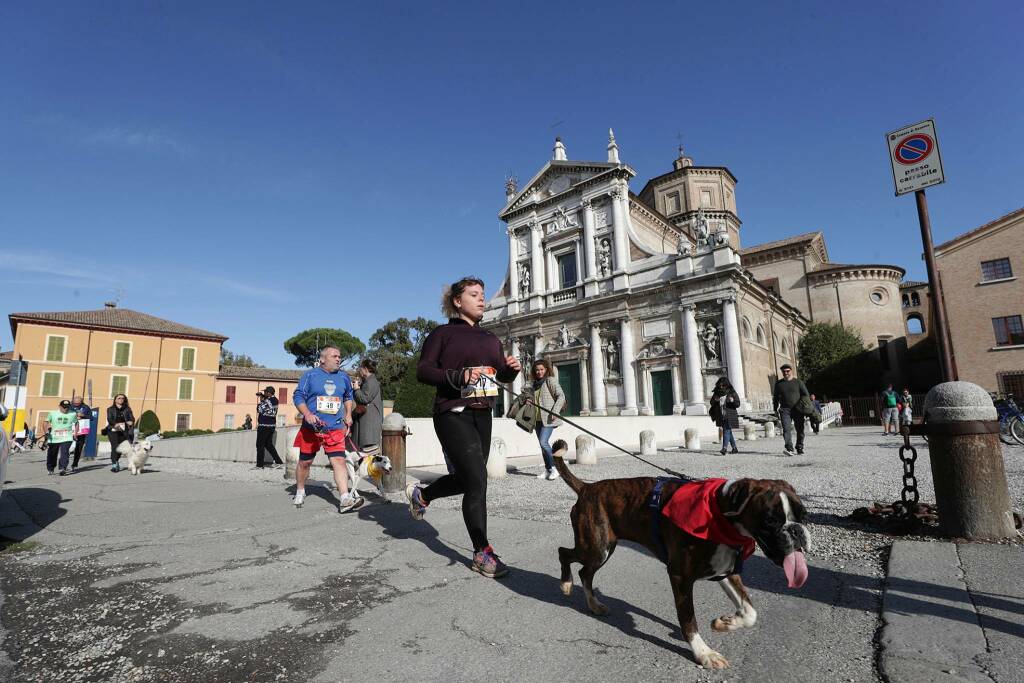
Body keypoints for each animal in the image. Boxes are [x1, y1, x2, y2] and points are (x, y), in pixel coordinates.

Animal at [557, 440, 811, 671]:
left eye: (804, 515)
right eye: (770, 520)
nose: (796, 531)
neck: (721, 515)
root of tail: (587, 488)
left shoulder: (724, 571)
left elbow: (750, 612)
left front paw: (725, 622)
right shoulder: (680, 577)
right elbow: (688, 618)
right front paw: (703, 653)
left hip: (601, 548)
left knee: (584, 572)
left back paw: (592, 604)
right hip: (597, 548)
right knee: (566, 556)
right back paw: (566, 584)